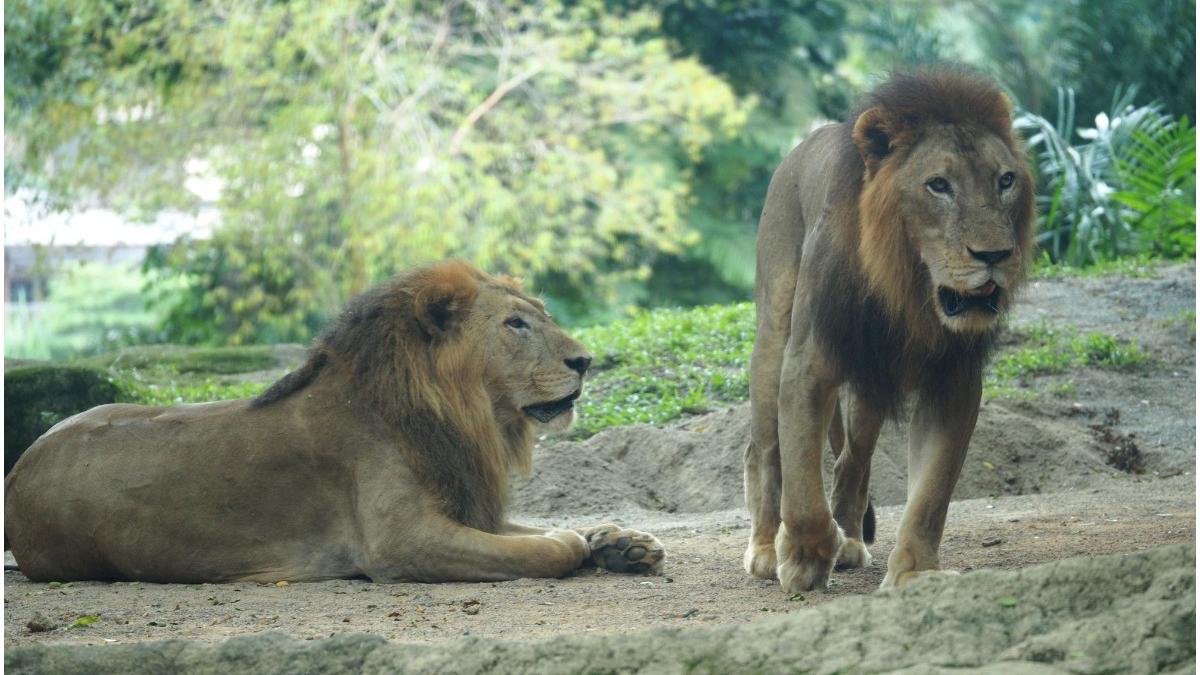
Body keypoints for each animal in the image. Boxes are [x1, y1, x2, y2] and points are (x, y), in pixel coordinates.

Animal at [4, 260, 667, 581]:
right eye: (516, 324)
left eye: (539, 316)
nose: (586, 361)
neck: (463, 415)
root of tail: (20, 468)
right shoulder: (400, 542)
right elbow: (548, 548)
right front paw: (579, 544)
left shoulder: (465, 506)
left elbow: (542, 530)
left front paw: (621, 544)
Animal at [739, 66, 1032, 588]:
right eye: (938, 185)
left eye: (1005, 180)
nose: (995, 255)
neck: (909, 290)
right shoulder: (809, 363)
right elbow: (802, 485)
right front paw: (804, 556)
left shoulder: (953, 381)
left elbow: (932, 494)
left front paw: (915, 574)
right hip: (773, 336)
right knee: (765, 450)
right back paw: (766, 549)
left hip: (871, 388)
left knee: (852, 462)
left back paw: (851, 539)